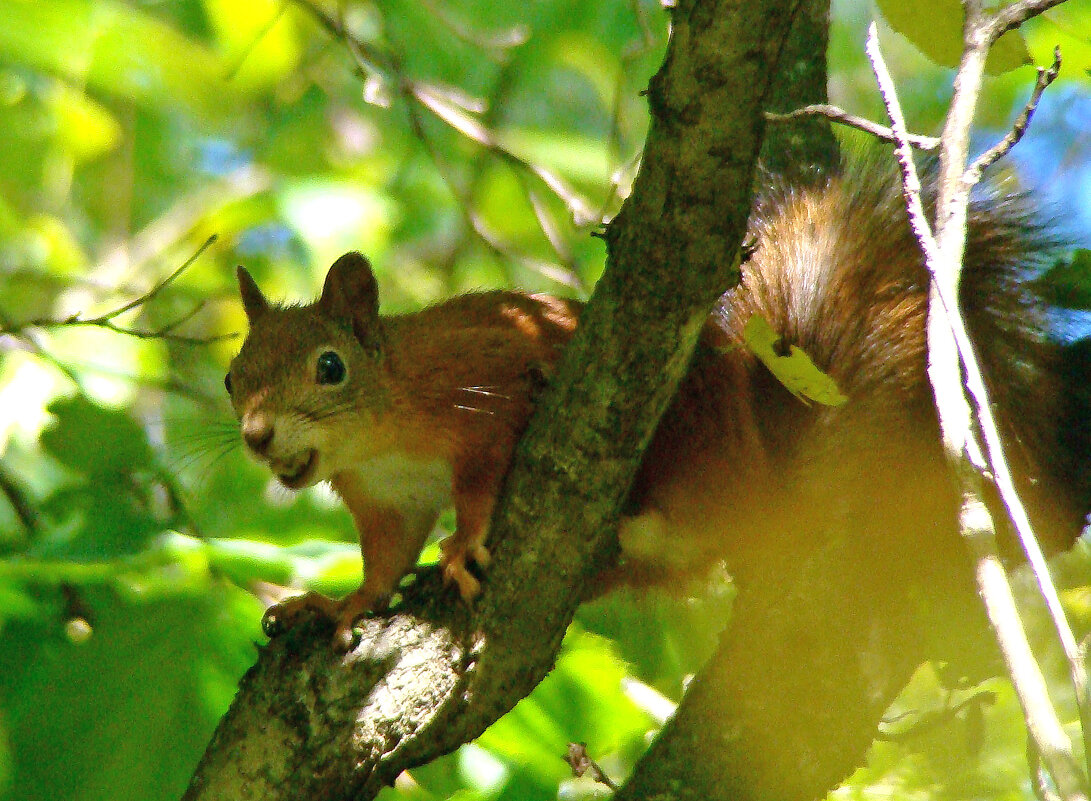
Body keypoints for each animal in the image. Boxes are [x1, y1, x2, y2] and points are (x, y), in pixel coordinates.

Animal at [225, 163, 1086, 646]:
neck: (380, 434)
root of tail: (762, 485)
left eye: (329, 367)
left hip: (684, 430)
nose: (257, 436)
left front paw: (463, 544)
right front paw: (337, 605)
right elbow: (384, 558)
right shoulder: (384, 502)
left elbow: (480, 479)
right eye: (233, 377)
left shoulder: (480, 387)